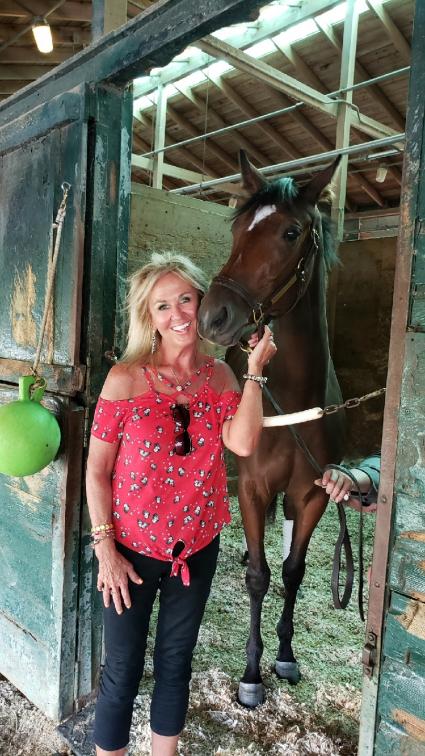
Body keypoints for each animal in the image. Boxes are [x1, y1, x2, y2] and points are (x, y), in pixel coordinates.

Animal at [197, 152, 346, 708]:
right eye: (238, 228)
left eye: (291, 232)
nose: (213, 315)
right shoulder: (254, 487)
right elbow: (259, 578)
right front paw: (251, 673)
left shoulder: (313, 493)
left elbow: (292, 572)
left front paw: (285, 654)